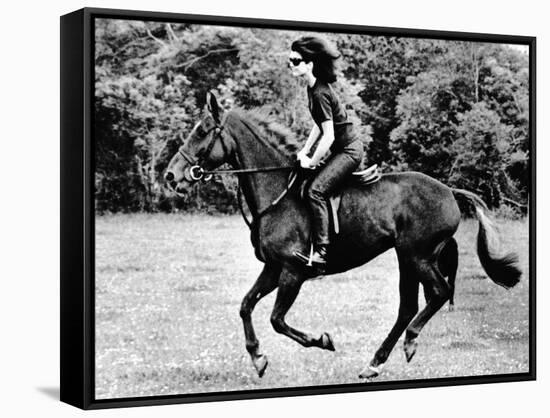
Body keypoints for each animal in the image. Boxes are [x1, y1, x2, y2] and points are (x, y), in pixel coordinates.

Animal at [163, 91, 520, 378]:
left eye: (202, 131)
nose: (171, 175)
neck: (276, 194)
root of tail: (449, 191)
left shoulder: (292, 271)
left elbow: (277, 319)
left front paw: (321, 340)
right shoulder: (273, 268)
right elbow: (245, 306)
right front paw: (258, 357)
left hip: (418, 256)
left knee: (439, 292)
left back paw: (409, 341)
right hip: (407, 258)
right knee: (408, 306)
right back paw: (375, 363)